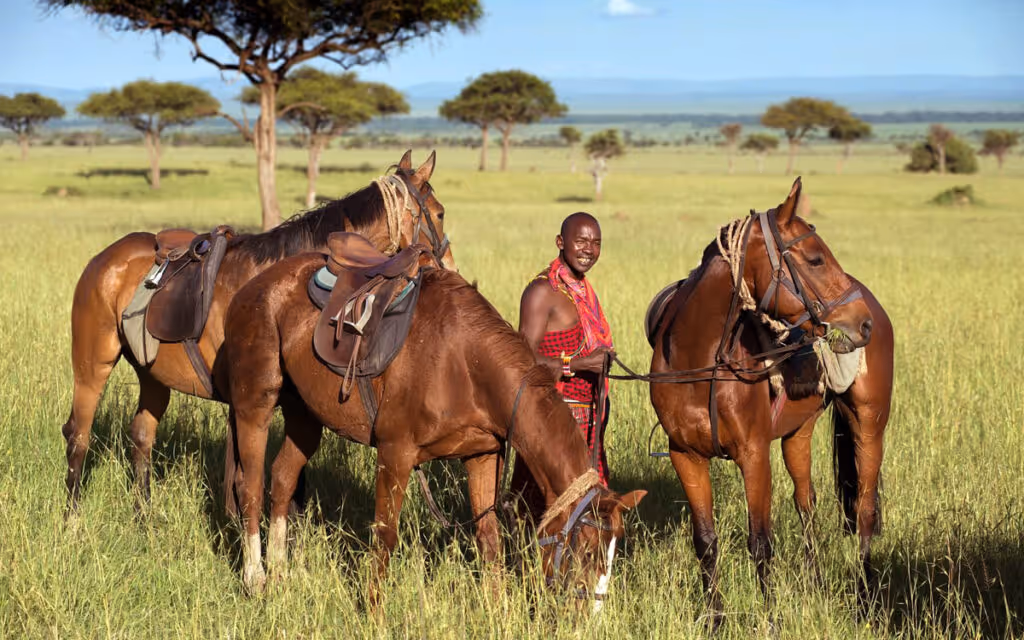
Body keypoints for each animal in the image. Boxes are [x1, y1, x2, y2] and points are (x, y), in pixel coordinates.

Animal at [61, 150, 454, 514]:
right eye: (439, 213)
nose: (449, 267)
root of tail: (104, 259)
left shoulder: (293, 404)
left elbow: (291, 486)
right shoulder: (247, 401)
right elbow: (242, 481)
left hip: (152, 376)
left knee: (141, 437)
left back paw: (144, 520)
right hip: (93, 365)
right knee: (78, 434)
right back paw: (73, 520)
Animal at [219, 250, 646, 604]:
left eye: (615, 550)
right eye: (586, 550)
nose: (590, 612)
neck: (464, 362)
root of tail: (252, 286)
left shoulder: (482, 455)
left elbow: (489, 538)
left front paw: (497, 610)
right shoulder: (395, 452)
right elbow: (385, 535)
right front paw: (373, 613)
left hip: (305, 415)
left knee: (282, 477)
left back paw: (280, 574)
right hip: (255, 404)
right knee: (252, 485)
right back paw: (256, 578)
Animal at [646, 178, 892, 627]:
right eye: (815, 259)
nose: (862, 322)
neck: (699, 362)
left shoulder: (754, 455)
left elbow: (760, 542)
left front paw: (770, 618)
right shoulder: (685, 456)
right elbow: (705, 541)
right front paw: (715, 620)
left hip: (868, 425)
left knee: (865, 511)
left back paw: (865, 601)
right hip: (798, 434)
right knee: (807, 504)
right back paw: (815, 583)